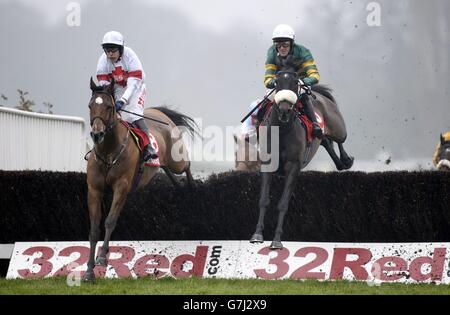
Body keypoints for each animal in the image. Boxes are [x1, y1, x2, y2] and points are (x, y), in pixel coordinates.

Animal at [84, 78, 197, 282]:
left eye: (109, 106)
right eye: (90, 105)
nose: (97, 134)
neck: (109, 151)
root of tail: (161, 113)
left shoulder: (122, 187)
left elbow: (110, 221)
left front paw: (103, 257)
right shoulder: (94, 190)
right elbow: (94, 228)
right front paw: (89, 271)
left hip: (177, 159)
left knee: (186, 166)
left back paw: (192, 188)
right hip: (163, 163)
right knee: (169, 172)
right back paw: (179, 188)